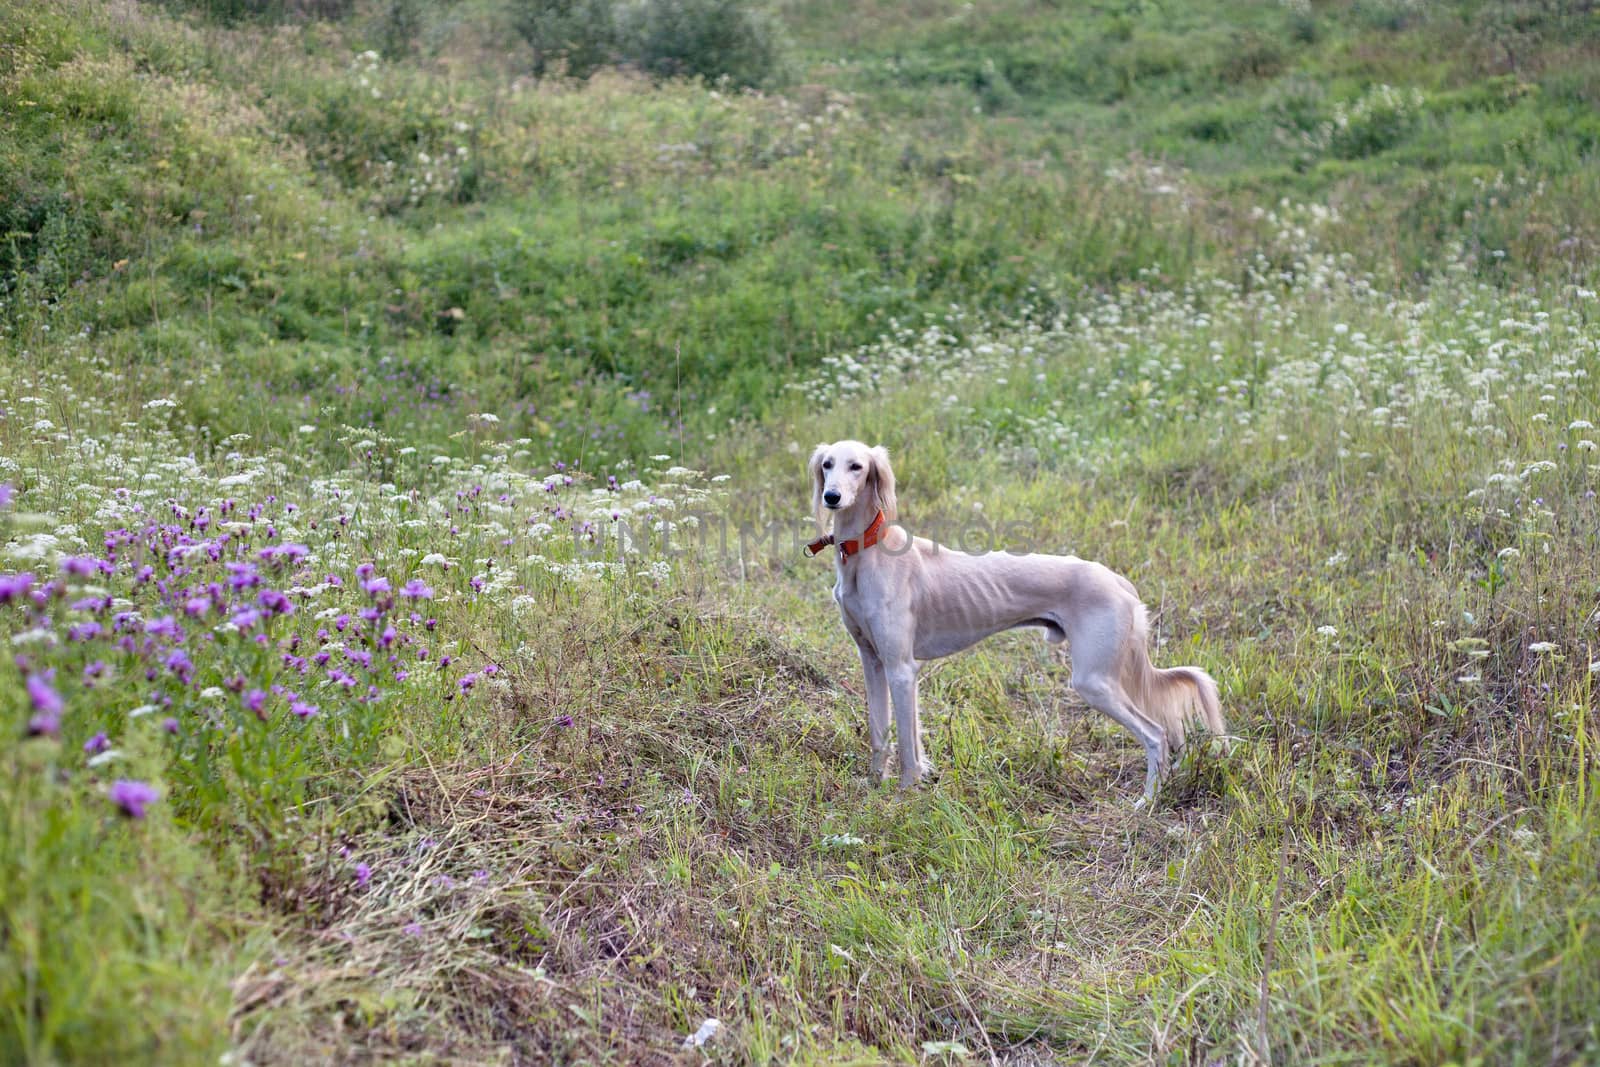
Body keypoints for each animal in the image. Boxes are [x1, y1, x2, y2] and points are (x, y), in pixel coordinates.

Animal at [812, 438, 1222, 806]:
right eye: (827, 465)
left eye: (857, 466)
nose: (831, 497)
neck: (867, 552)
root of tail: (1118, 581)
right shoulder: (873, 661)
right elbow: (880, 734)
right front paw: (873, 786)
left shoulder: (901, 669)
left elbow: (908, 747)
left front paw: (905, 797)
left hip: (1093, 681)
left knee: (1155, 734)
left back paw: (1146, 802)